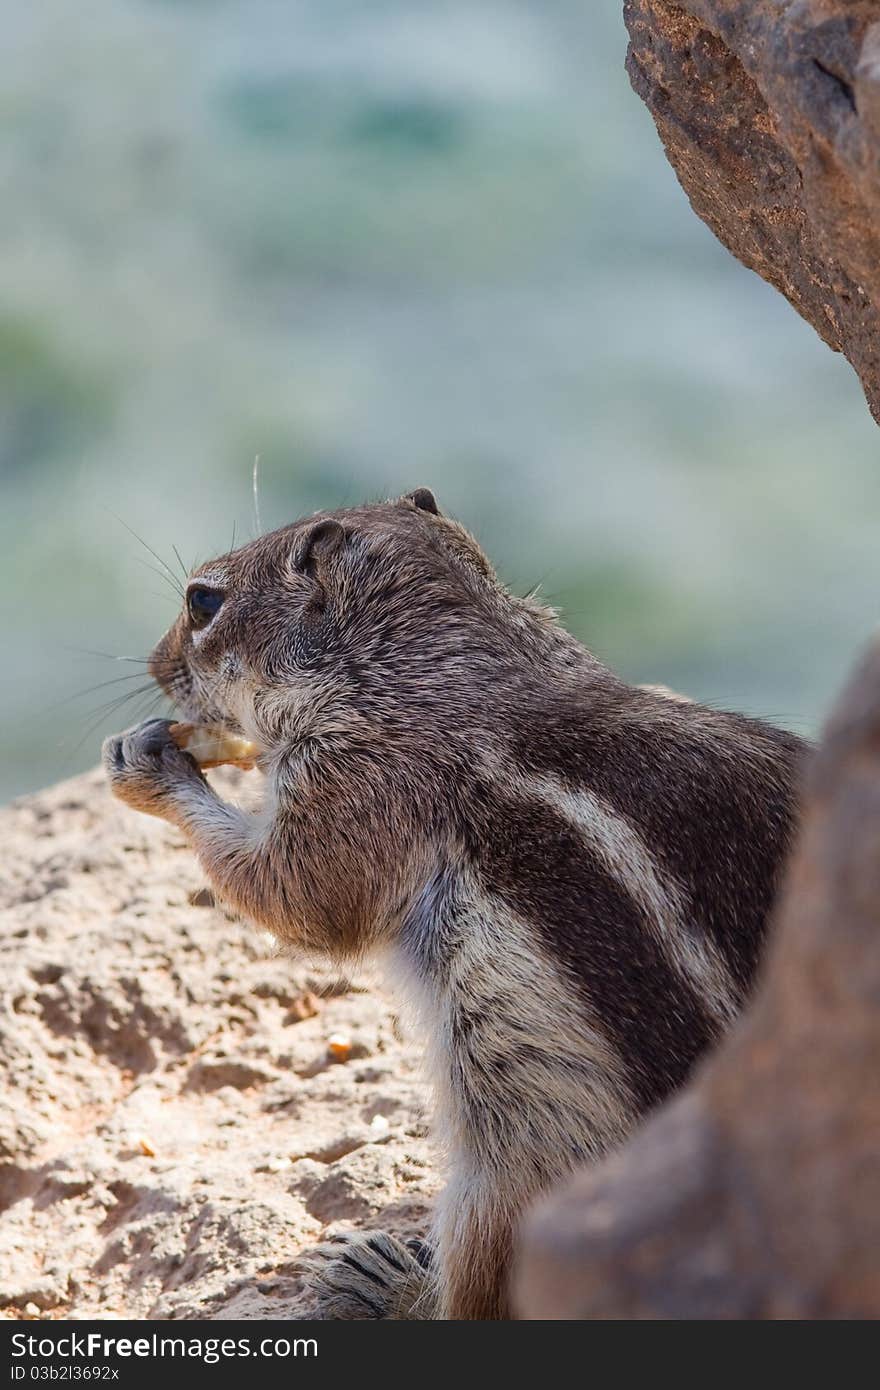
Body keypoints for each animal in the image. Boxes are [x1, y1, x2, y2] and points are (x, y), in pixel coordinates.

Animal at [101, 494, 800, 1317]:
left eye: (202, 603)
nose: (154, 665)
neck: (449, 658)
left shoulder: (359, 780)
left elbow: (298, 895)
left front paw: (151, 764)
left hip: (525, 1159)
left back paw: (388, 1283)